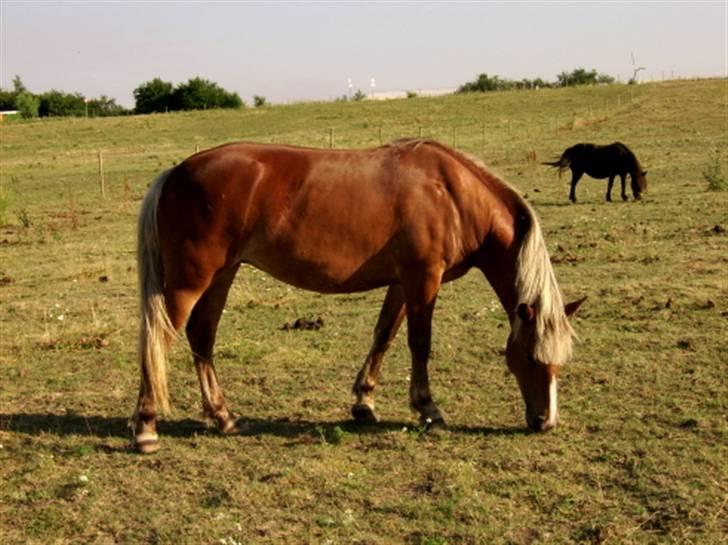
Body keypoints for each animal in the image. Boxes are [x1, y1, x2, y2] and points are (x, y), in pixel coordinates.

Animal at [131, 139, 584, 450]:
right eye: (531, 357)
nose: (545, 422)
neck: (454, 194)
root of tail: (175, 172)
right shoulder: (424, 279)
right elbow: (420, 343)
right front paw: (428, 409)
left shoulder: (402, 282)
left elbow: (383, 337)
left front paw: (364, 403)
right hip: (191, 281)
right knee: (159, 339)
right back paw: (146, 428)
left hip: (222, 275)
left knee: (201, 336)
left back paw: (223, 416)